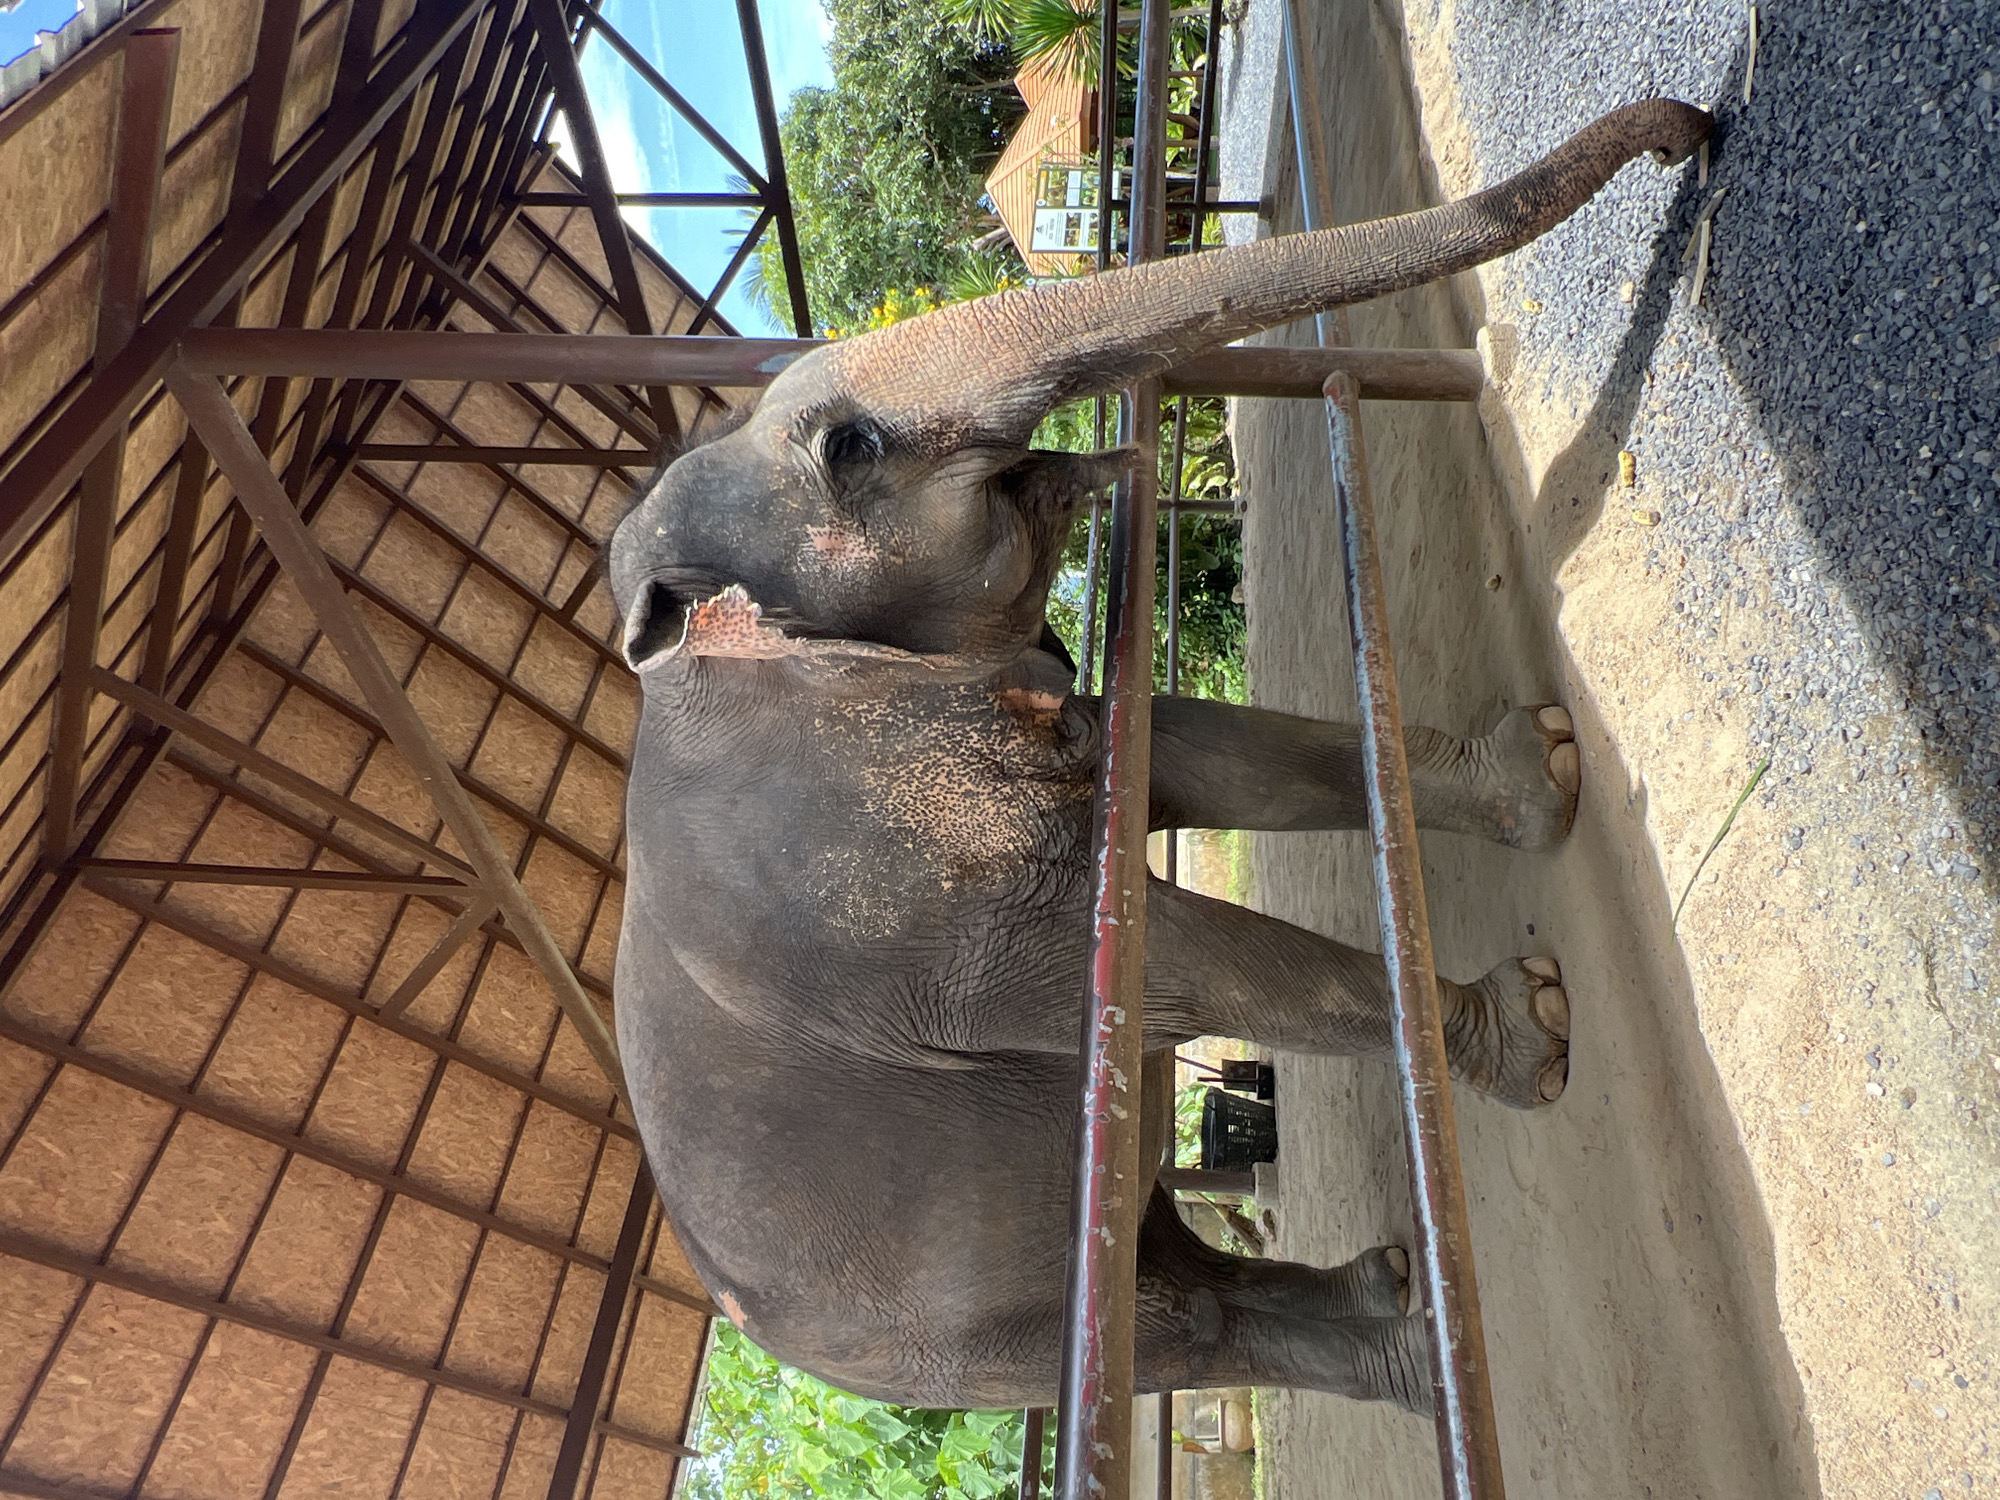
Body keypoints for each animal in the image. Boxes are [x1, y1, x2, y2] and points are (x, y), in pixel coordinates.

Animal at [608, 99, 1713, 1415]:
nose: (1691, 136)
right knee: (1186, 1327)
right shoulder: (907, 914)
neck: (682, 665)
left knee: (1188, 1275)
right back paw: (1427, 1351)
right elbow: (1183, 958)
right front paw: (1540, 1027)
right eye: (852, 447)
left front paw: (1543, 771)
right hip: (984, 1341)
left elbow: (1207, 755)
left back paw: (1397, 1296)